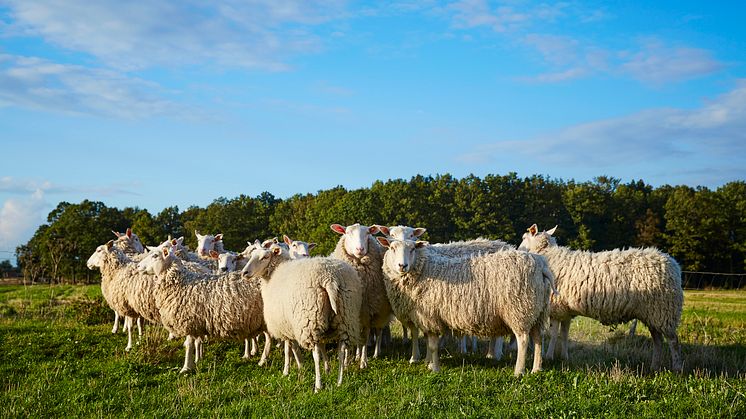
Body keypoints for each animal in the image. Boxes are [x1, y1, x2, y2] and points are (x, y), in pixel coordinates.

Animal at [148, 243, 270, 374]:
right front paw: (196, 360)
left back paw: (263, 360)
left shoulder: (189, 321)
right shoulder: (197, 323)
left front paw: (186, 367)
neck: (181, 282)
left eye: (155, 255)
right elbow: (196, 342)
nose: (139, 266)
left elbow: (189, 344)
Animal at [243, 243, 362, 394]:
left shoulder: (286, 327)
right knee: (341, 349)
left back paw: (318, 386)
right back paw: (339, 382)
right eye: (251, 255)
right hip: (345, 316)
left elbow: (289, 349)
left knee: (315, 354)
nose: (244, 273)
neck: (274, 273)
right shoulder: (298, 325)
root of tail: (329, 278)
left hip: (309, 320)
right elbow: (320, 347)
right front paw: (326, 368)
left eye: (265, 257)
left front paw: (289, 370)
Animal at [330, 223, 392, 368]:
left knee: (378, 332)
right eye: (347, 233)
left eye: (367, 233)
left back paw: (375, 353)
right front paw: (346, 362)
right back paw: (356, 355)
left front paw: (363, 362)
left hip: (380, 313)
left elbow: (366, 337)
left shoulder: (368, 310)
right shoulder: (348, 313)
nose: (360, 249)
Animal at [378, 238, 552, 378]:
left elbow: (433, 345)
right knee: (538, 338)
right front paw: (428, 363)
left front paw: (434, 368)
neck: (424, 270)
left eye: (413, 249)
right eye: (392, 248)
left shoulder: (430, 317)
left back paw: (518, 371)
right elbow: (428, 341)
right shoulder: (425, 317)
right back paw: (536, 369)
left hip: (519, 310)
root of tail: (541, 266)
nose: (402, 265)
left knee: (523, 339)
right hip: (537, 311)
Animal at [516, 225, 680, 372]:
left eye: (524, 237)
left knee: (673, 341)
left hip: (664, 310)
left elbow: (554, 333)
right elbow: (564, 334)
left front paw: (549, 356)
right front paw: (564, 357)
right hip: (653, 313)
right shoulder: (565, 310)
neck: (549, 255)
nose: (518, 249)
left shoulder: (556, 307)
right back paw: (655, 367)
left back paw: (677, 369)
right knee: (658, 340)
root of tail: (672, 264)